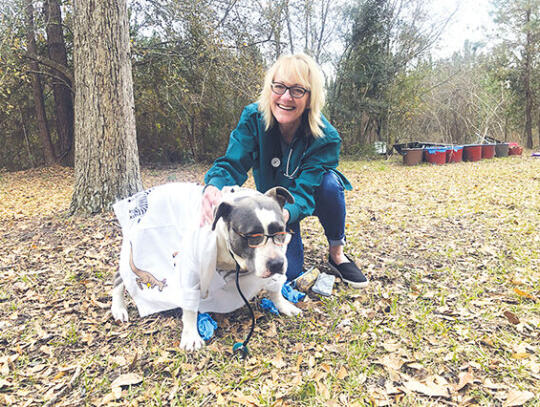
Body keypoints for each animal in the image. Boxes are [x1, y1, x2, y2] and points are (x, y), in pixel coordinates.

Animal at [111, 184, 302, 350]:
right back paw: (118, 308)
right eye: (252, 236)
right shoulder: (191, 270)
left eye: (280, 231)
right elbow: (189, 306)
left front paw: (283, 305)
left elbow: (275, 289)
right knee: (120, 278)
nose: (276, 263)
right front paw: (191, 335)